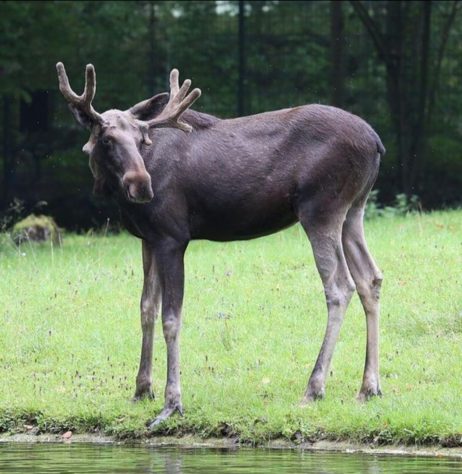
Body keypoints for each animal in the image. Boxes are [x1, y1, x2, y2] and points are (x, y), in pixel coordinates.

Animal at [56, 61, 384, 428]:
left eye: (142, 139)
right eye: (107, 138)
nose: (142, 185)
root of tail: (376, 142)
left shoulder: (172, 236)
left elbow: (171, 317)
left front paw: (171, 403)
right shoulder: (148, 239)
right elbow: (146, 308)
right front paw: (141, 389)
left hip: (321, 209)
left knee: (340, 286)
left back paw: (314, 388)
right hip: (354, 211)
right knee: (370, 278)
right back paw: (369, 387)